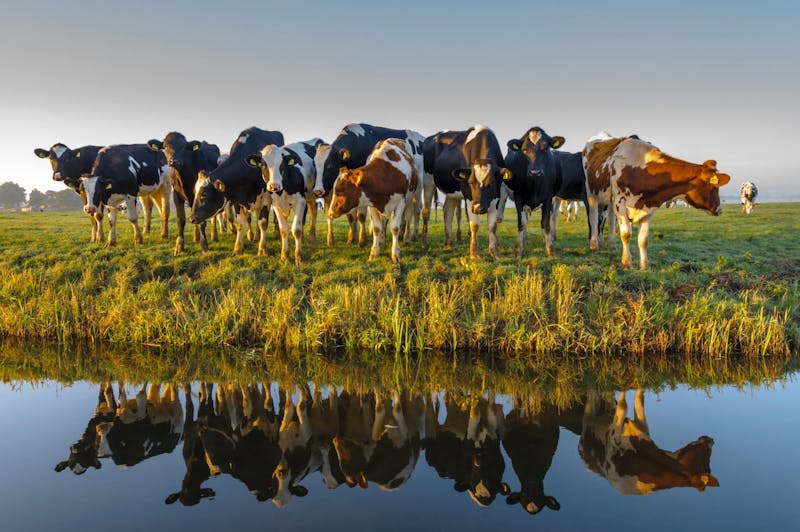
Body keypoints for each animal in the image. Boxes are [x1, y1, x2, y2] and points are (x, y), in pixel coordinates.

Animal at [190, 127, 284, 255]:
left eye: (205, 194)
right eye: (195, 193)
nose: (192, 218)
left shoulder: (266, 197)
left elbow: (263, 223)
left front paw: (262, 249)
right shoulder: (236, 197)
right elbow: (240, 223)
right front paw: (238, 247)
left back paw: (275, 235)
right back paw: (256, 236)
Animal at [425, 126, 510, 258]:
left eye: (491, 183)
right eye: (470, 183)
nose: (478, 208)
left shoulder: (497, 195)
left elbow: (493, 226)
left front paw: (494, 252)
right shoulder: (469, 197)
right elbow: (474, 224)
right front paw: (474, 253)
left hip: (452, 191)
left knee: (448, 210)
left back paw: (449, 242)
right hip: (428, 182)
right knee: (426, 211)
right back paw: (423, 242)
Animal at [580, 389, 719, 495]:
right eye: (706, 452)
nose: (711, 439)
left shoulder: (641, 428)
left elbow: (638, 399)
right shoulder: (613, 439)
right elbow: (624, 405)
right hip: (588, 417)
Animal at [583, 132, 731, 269]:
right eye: (714, 186)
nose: (719, 209)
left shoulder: (648, 206)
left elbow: (643, 239)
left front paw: (644, 266)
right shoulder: (620, 202)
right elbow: (625, 234)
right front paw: (627, 263)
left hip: (609, 201)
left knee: (609, 220)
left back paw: (610, 244)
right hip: (591, 194)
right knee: (594, 218)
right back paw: (594, 245)